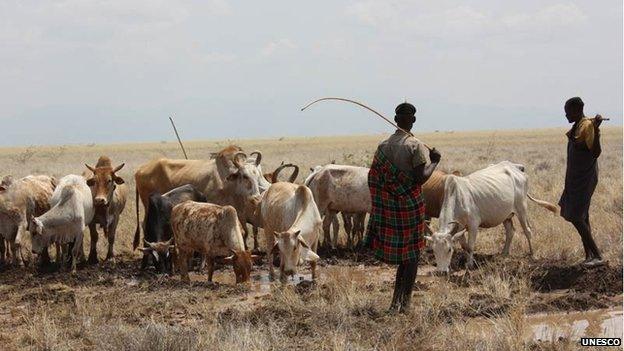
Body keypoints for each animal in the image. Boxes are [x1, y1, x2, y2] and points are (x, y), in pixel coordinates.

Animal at [426, 161, 560, 274]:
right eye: (434, 250)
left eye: (449, 249)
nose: (442, 272)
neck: (457, 197)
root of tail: (516, 168)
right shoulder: (459, 228)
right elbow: (465, 246)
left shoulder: (473, 225)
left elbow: (470, 246)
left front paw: (469, 265)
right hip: (506, 215)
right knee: (510, 231)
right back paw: (504, 253)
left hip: (522, 209)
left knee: (527, 231)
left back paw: (532, 254)